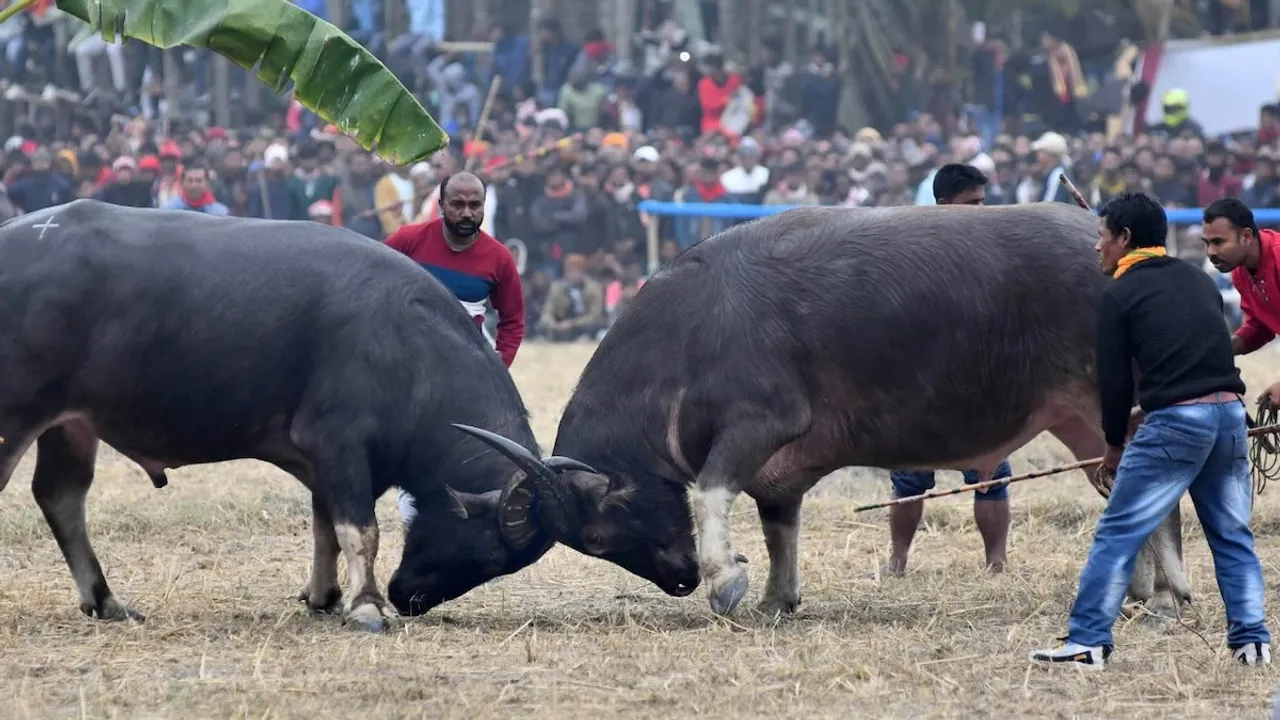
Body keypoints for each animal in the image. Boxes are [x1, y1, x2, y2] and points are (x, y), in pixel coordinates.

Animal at [0, 199, 589, 632]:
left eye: (498, 567)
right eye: (489, 555)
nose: (410, 598)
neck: (410, 348)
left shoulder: (325, 460)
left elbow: (325, 524)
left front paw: (325, 595)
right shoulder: (340, 444)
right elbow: (360, 529)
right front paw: (367, 608)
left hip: (70, 426)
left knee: (61, 497)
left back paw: (106, 601)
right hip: (17, 413)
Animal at [454, 202, 1192, 619]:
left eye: (603, 537)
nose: (681, 580)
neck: (690, 333)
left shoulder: (761, 424)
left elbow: (709, 490)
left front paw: (727, 581)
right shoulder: (781, 472)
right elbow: (778, 525)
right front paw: (776, 597)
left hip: (1116, 405)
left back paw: (1167, 592)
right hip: (1080, 421)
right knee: (1120, 489)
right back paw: (1136, 588)